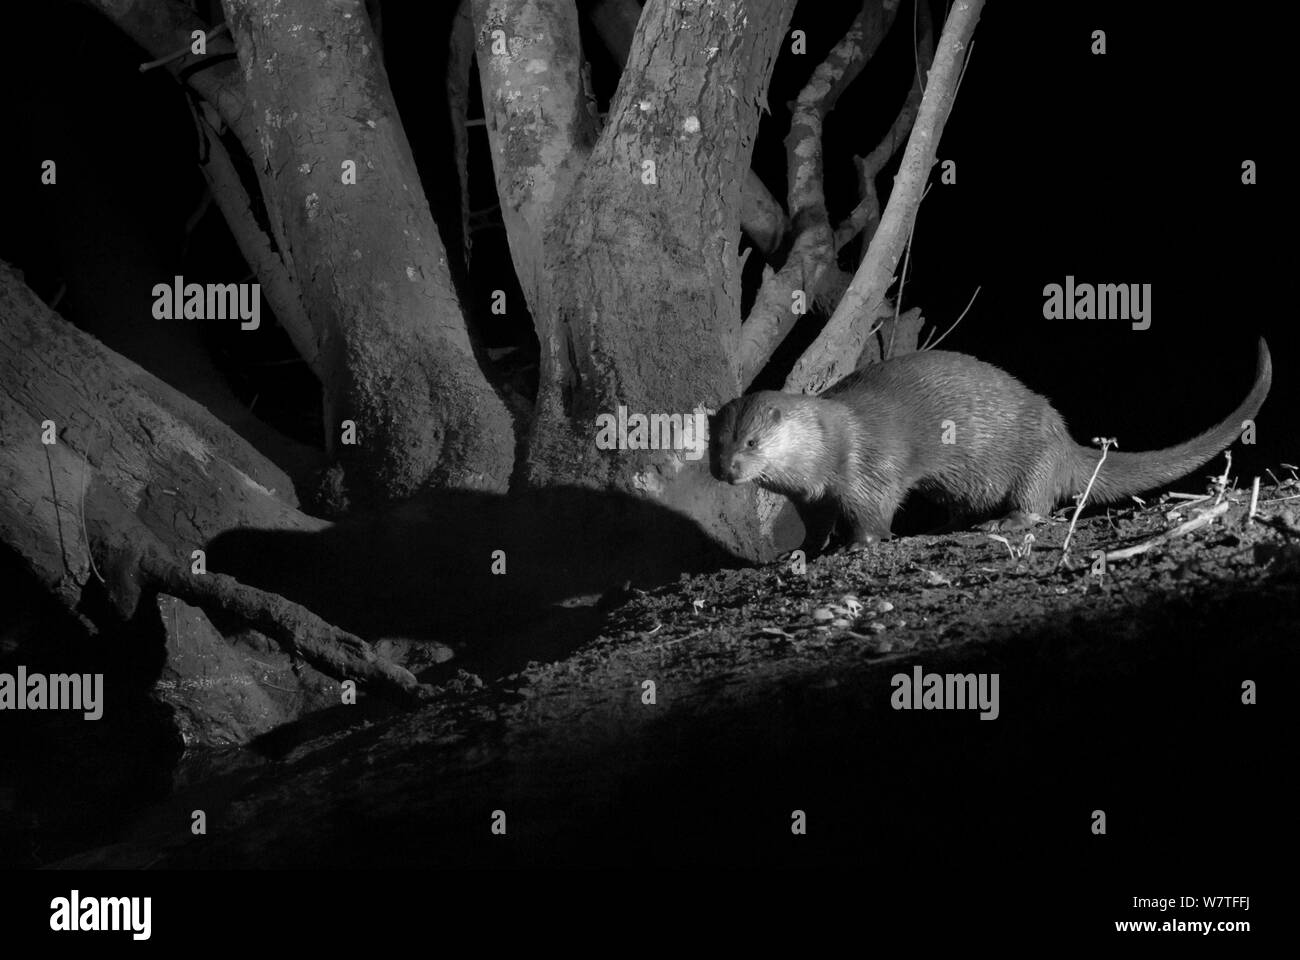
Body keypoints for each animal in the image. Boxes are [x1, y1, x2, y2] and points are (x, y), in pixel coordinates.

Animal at [712, 340, 1268, 554]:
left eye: (753, 440)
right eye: (716, 443)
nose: (728, 470)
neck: (832, 445)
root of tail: (1065, 440)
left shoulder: (871, 467)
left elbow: (874, 512)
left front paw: (858, 544)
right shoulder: (812, 495)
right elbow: (816, 522)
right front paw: (803, 551)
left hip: (1035, 460)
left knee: (1038, 503)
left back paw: (1004, 523)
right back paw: (947, 525)